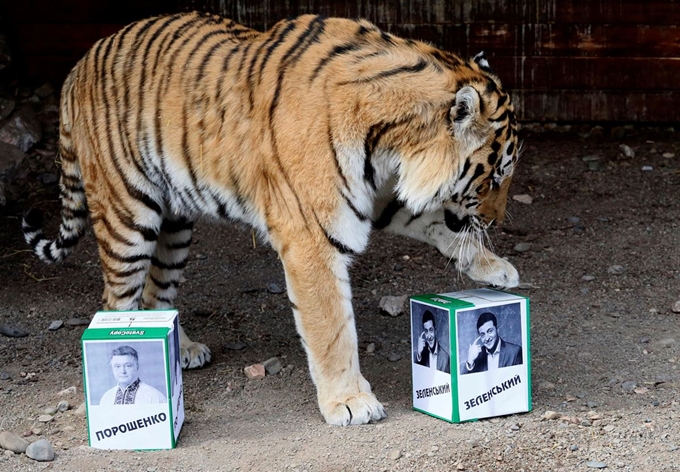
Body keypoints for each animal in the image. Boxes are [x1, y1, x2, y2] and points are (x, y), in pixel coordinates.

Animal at [22, 12, 520, 428]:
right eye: (495, 176)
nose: (497, 220)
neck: (391, 144)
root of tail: (77, 66)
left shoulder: (378, 197)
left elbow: (435, 220)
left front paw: (494, 268)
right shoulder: (312, 237)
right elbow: (332, 330)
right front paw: (350, 402)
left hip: (175, 225)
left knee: (155, 293)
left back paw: (181, 352)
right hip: (128, 217)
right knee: (118, 298)